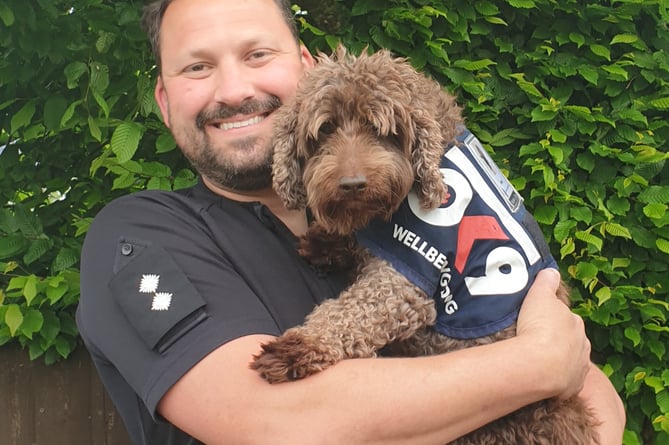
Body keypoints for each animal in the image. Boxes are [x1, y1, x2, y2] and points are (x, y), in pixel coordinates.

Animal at [252, 45, 600, 444]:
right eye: (325, 129)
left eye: (381, 130)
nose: (353, 185)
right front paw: (327, 241)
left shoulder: (410, 273)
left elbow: (354, 312)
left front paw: (303, 344)